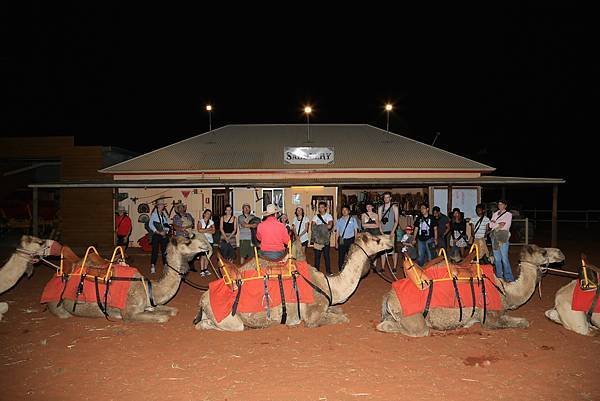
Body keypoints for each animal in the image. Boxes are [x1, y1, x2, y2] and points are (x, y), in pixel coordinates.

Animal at [45, 234, 212, 322]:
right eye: (188, 241)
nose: (206, 244)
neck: (148, 287)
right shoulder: (130, 313)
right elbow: (162, 318)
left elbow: (173, 311)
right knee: (61, 312)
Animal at [195, 230, 396, 330]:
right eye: (377, 240)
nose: (391, 238)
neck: (329, 285)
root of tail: (202, 299)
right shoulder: (312, 316)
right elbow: (342, 318)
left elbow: (338, 310)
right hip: (229, 319)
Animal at [378, 242, 564, 336]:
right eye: (544, 252)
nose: (561, 253)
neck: (506, 292)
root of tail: (388, 296)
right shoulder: (490, 317)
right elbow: (523, 322)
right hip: (412, 317)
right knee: (413, 330)